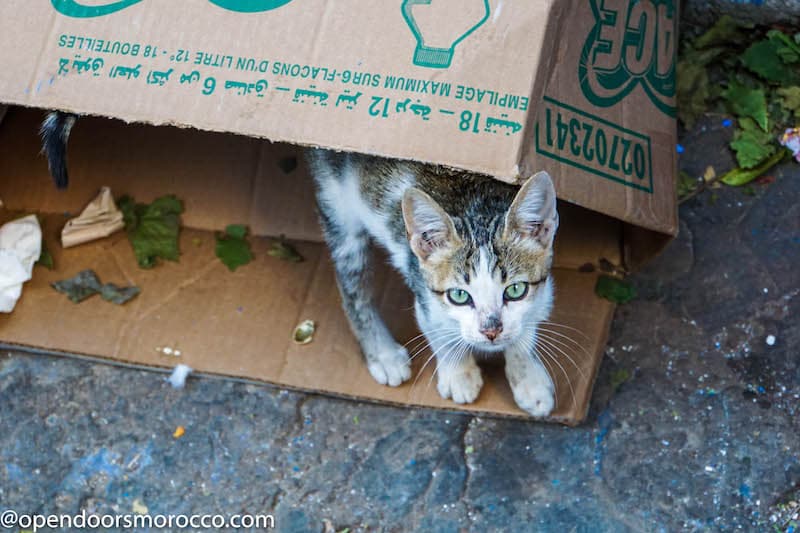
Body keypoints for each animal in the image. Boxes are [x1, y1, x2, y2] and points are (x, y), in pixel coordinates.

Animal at [310, 150, 560, 416]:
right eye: (459, 295)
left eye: (515, 290)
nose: (491, 331)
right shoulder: (425, 295)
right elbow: (438, 331)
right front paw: (458, 374)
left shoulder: (544, 294)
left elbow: (527, 328)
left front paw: (530, 381)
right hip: (337, 202)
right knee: (353, 286)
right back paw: (383, 354)